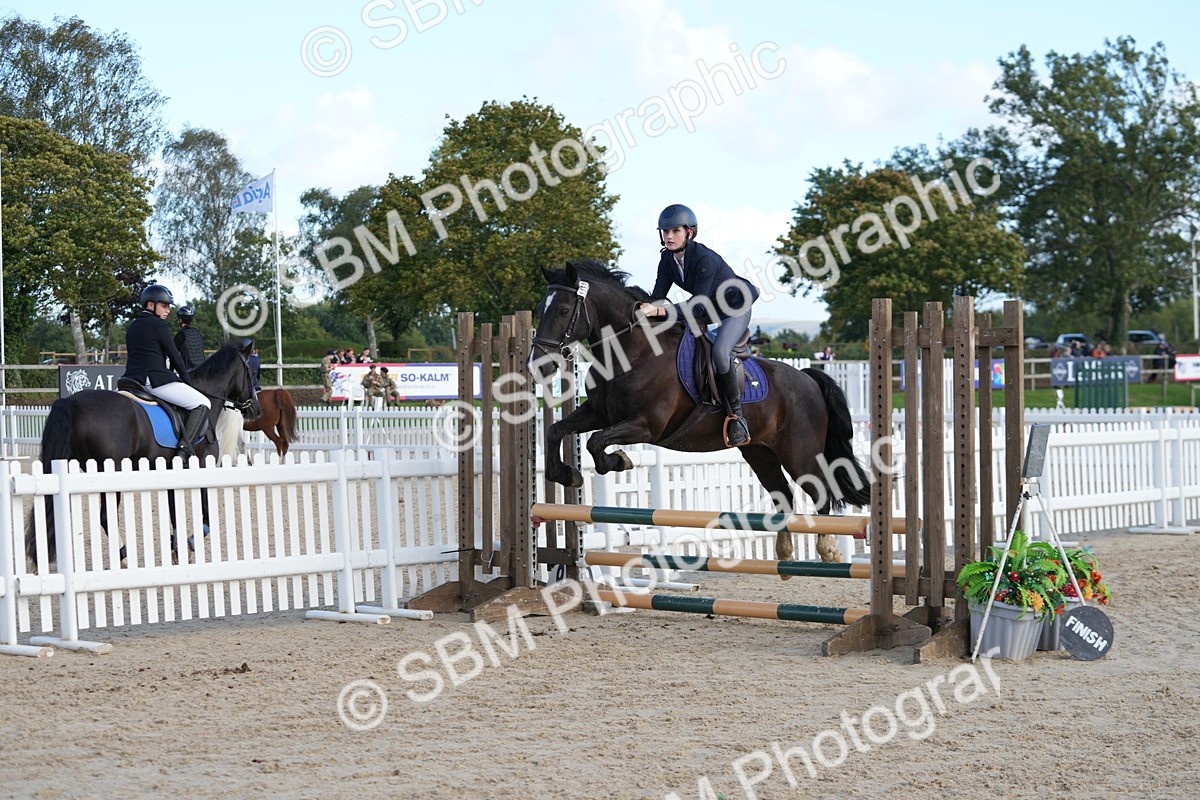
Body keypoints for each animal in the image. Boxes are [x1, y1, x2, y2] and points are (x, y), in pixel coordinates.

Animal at [25, 340, 262, 565]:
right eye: (251, 372)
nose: (256, 410)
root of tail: (72, 401)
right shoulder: (203, 466)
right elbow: (207, 514)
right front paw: (190, 543)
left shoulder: (173, 473)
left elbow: (174, 512)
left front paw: (178, 549)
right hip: (110, 472)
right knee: (106, 517)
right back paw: (124, 557)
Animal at [528, 259, 872, 565]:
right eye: (539, 309)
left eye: (563, 310)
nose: (538, 366)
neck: (632, 350)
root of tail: (808, 378)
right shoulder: (598, 413)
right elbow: (556, 431)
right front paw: (567, 474)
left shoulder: (646, 425)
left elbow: (595, 443)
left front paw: (620, 461)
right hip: (760, 452)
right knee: (783, 496)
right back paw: (785, 553)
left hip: (800, 454)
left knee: (821, 493)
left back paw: (828, 550)